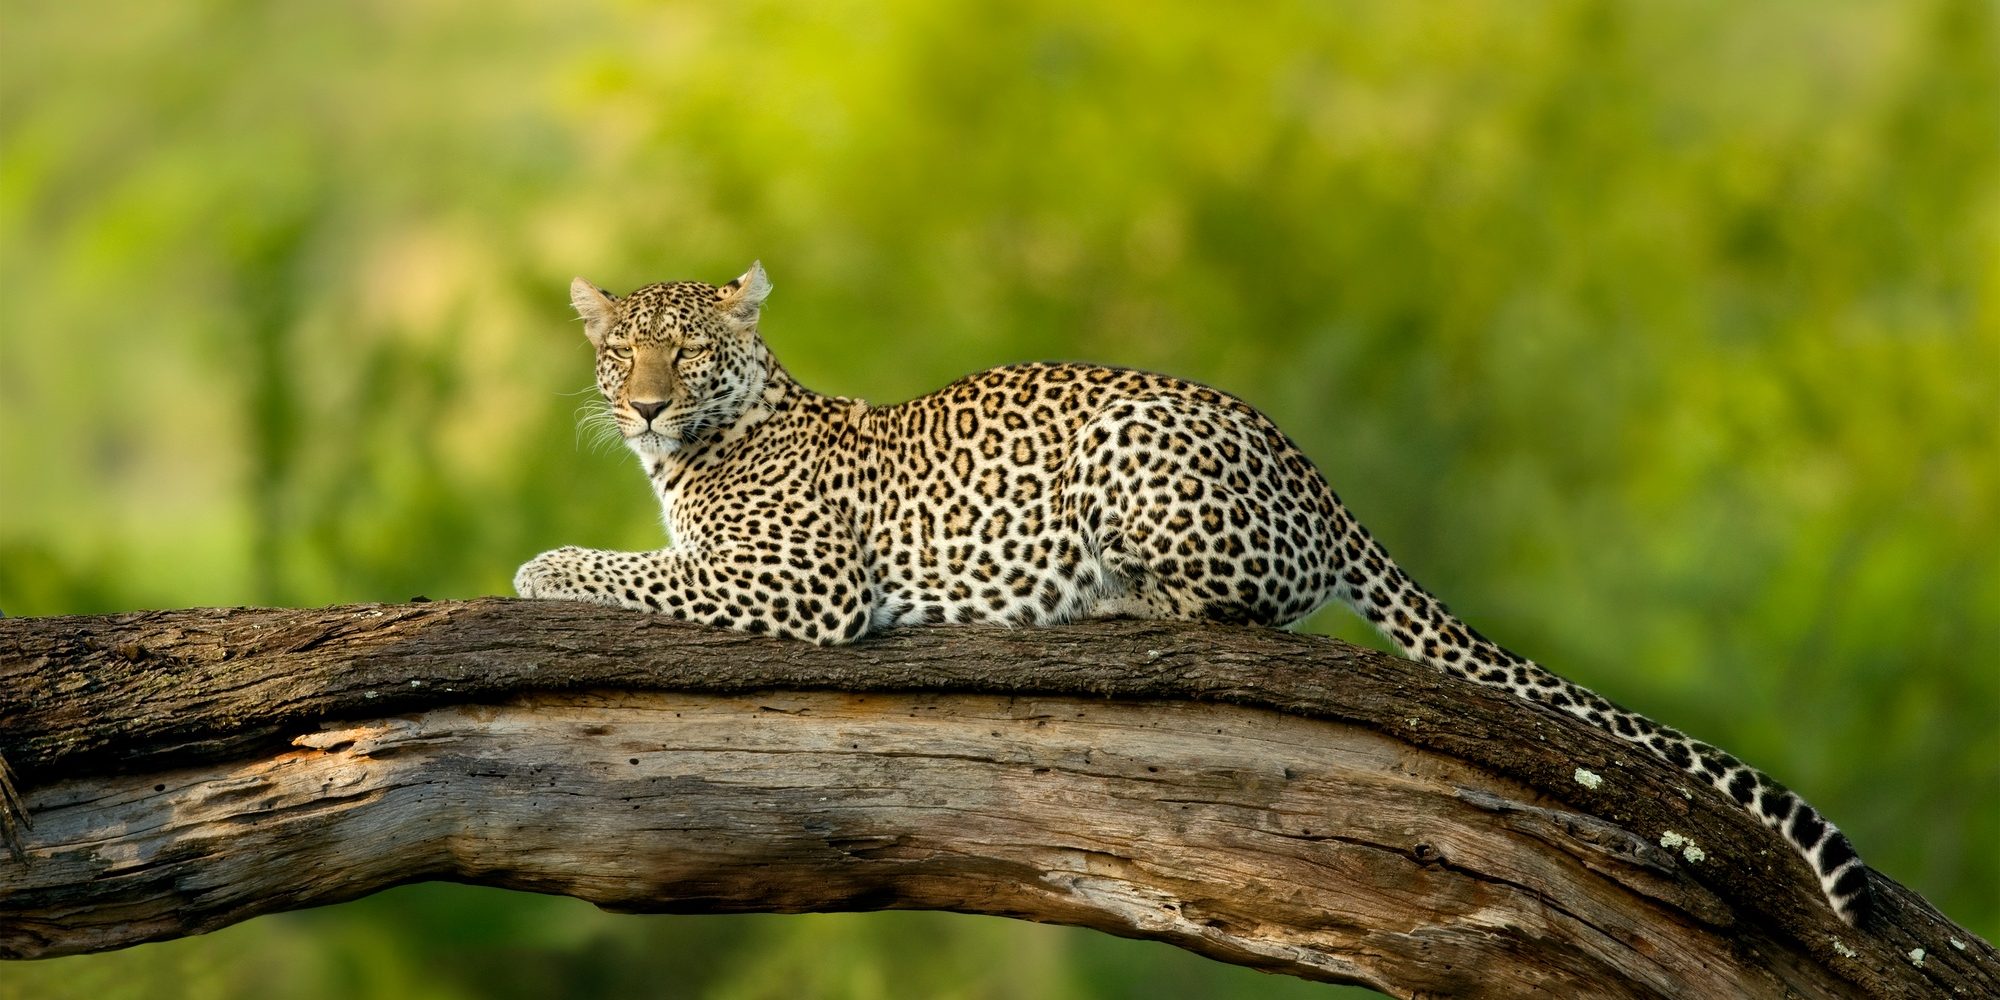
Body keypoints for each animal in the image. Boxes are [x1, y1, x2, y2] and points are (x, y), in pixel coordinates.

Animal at [514, 262, 1873, 927]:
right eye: (619, 349)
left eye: (688, 350)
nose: (642, 402)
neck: (687, 452)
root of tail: (1311, 469)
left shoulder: (797, 582)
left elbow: (623, 565)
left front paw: (538, 564)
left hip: (1130, 449)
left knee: (1239, 608)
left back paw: (1103, 604)